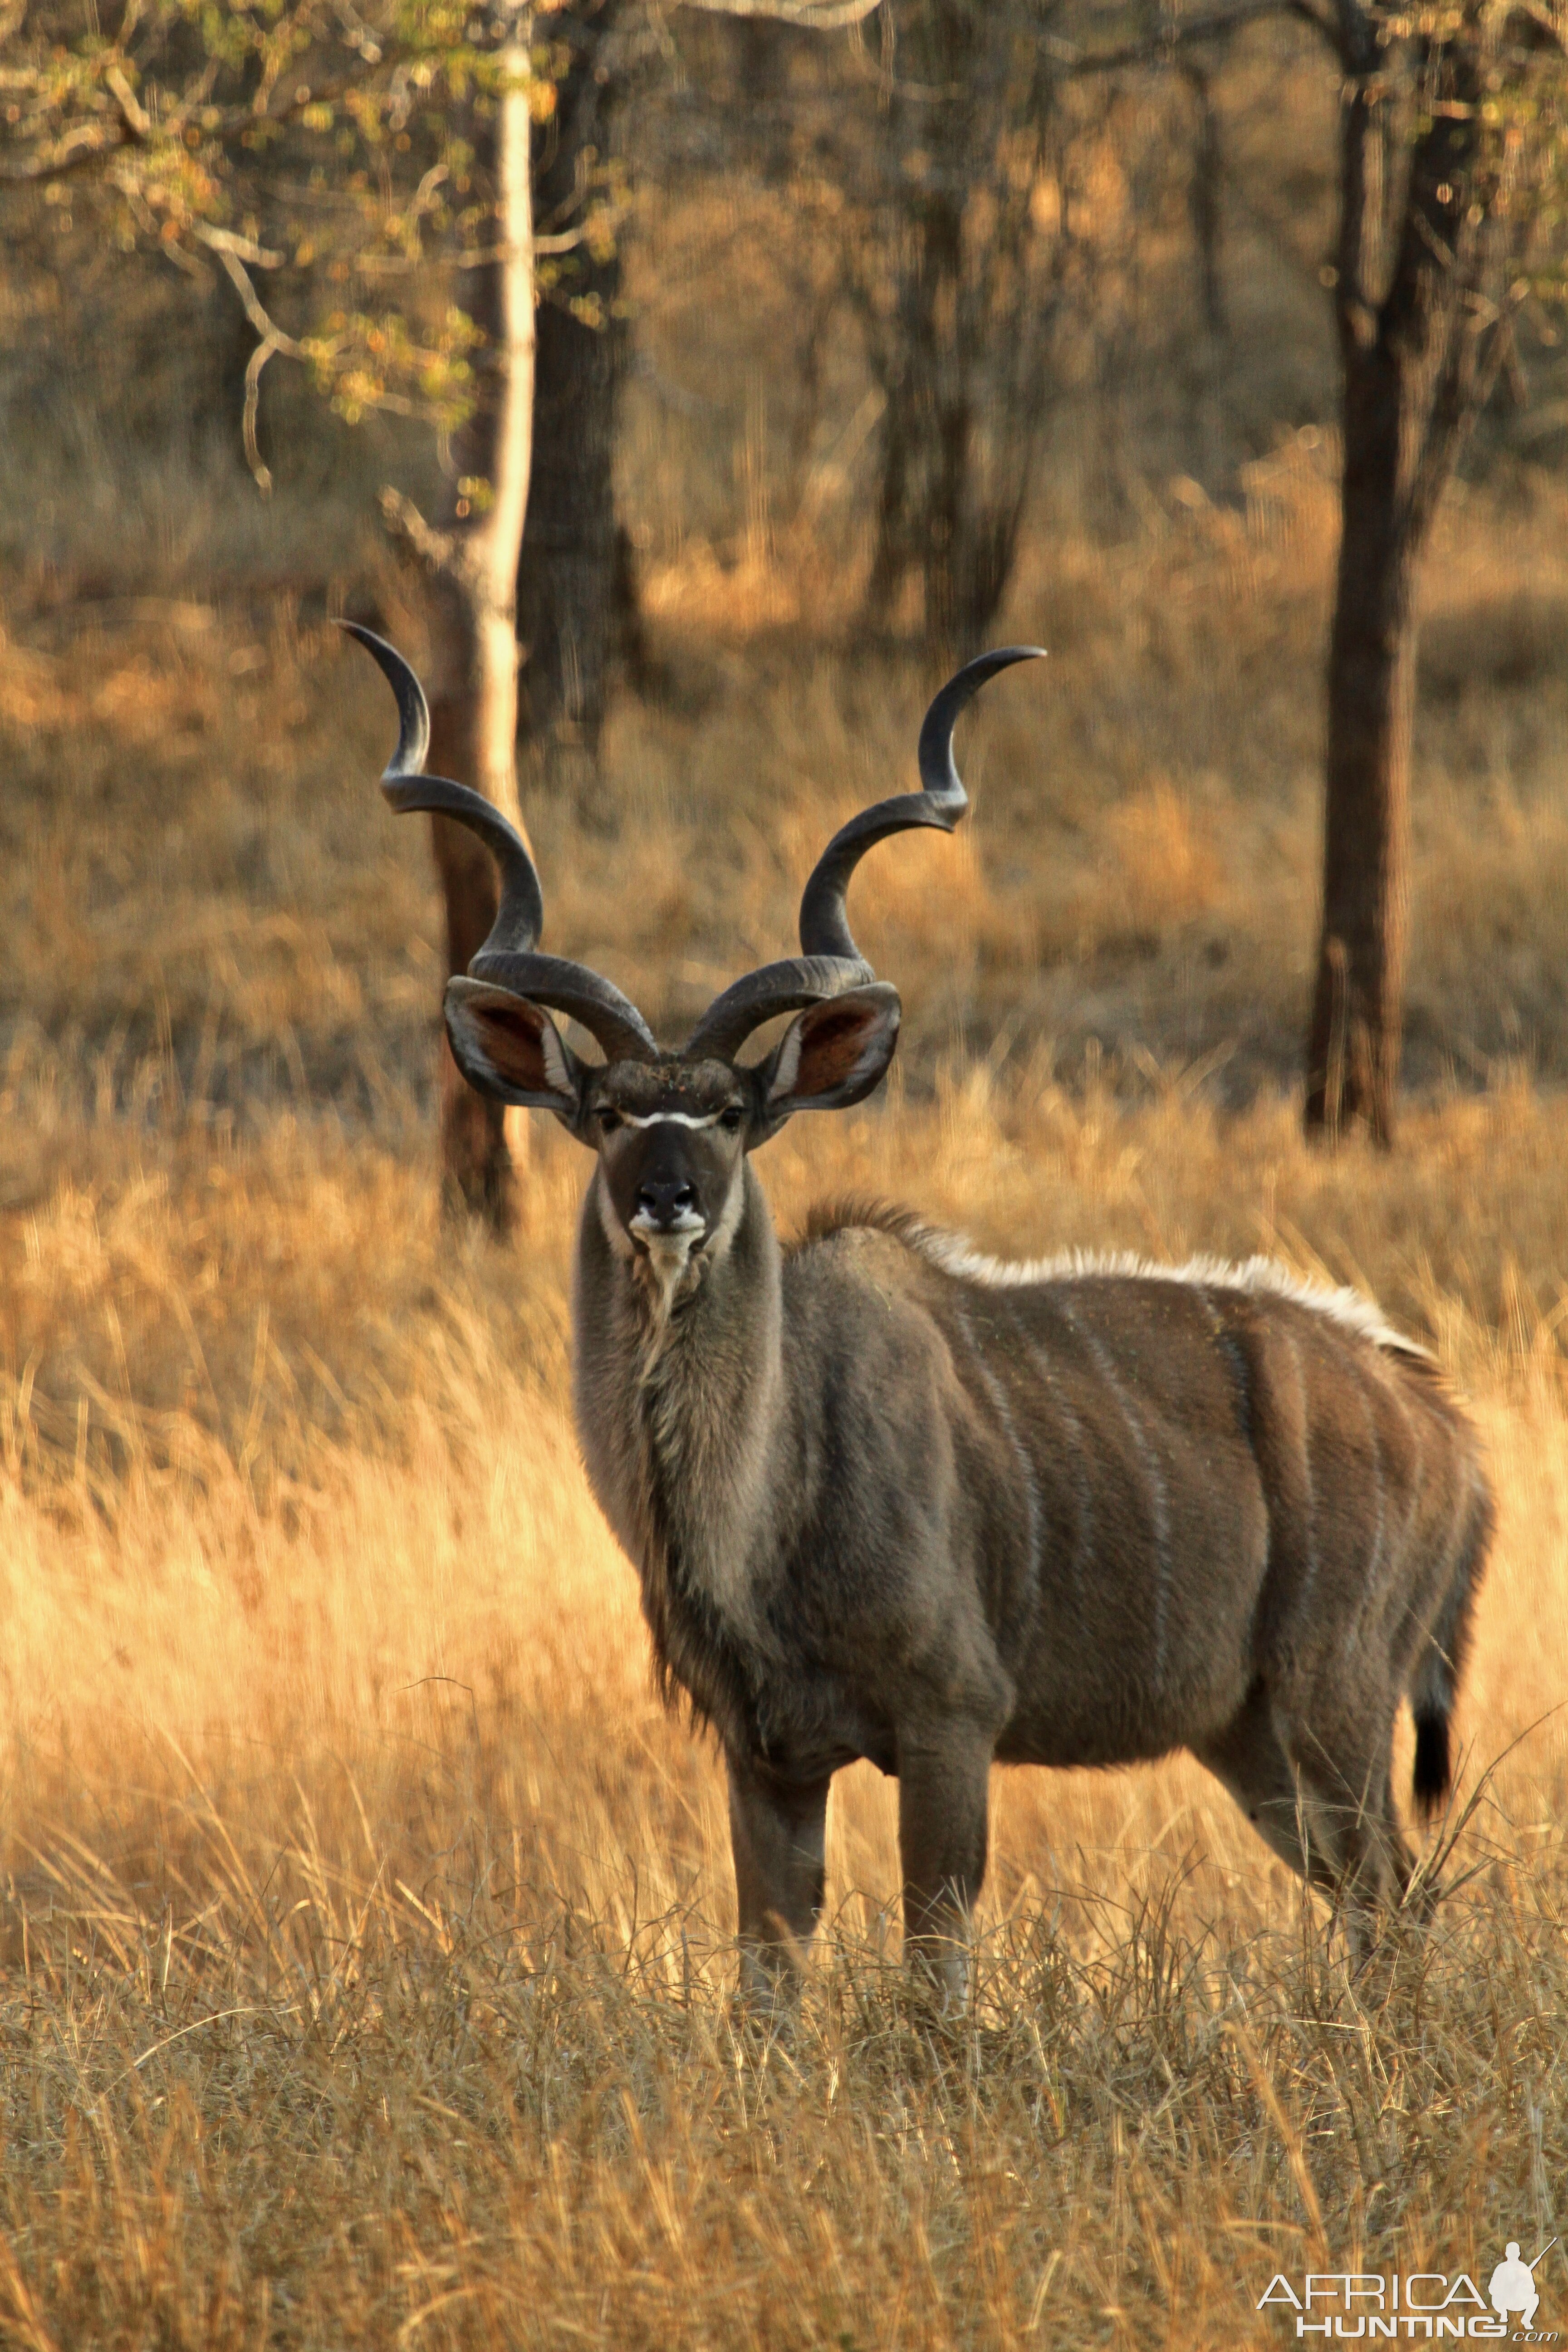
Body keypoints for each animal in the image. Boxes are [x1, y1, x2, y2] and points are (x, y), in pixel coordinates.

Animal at [345, 621, 1495, 1985]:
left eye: (728, 1115)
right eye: (612, 1113)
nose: (669, 1199)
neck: (768, 1486)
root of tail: (1445, 1432)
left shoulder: (951, 1720)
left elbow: (933, 1972)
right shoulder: (768, 1755)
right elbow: (769, 1970)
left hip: (1333, 1698)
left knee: (1394, 1901)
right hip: (1252, 1732)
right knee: (1378, 1906)